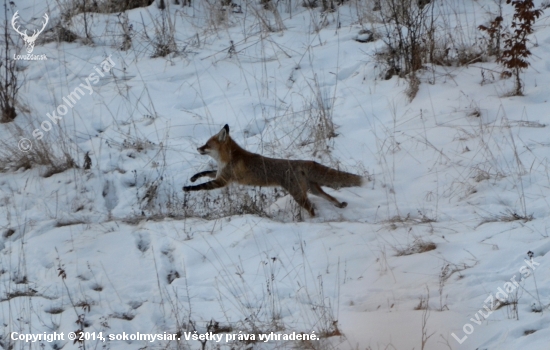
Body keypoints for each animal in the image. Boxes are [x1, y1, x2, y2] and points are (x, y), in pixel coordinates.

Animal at [184, 124, 366, 215]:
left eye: (207, 145)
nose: (197, 148)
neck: (228, 158)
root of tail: (302, 161)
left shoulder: (222, 181)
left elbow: (201, 187)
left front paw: (187, 188)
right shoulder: (220, 174)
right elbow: (204, 173)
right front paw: (193, 177)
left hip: (298, 195)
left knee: (312, 208)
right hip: (311, 189)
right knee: (329, 197)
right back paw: (340, 205)